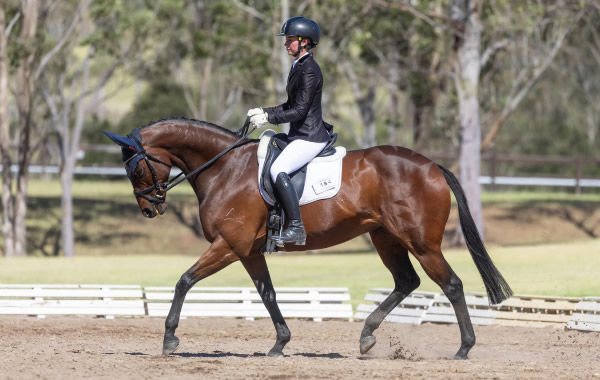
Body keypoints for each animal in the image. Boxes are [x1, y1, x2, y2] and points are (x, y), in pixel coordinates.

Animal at [104, 118, 510, 360]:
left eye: (135, 168)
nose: (150, 209)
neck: (225, 169)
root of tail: (431, 166)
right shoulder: (248, 251)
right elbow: (267, 294)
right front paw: (280, 343)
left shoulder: (228, 245)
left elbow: (184, 281)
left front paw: (170, 340)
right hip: (385, 238)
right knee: (406, 282)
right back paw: (366, 337)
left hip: (422, 243)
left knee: (451, 284)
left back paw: (464, 349)